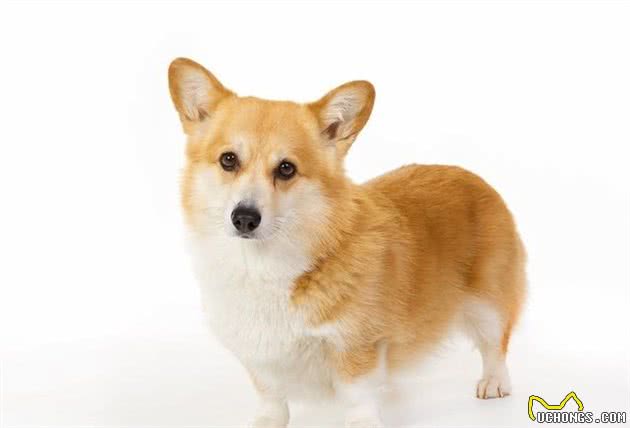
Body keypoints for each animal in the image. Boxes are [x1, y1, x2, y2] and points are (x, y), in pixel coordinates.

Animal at [168, 57, 526, 427]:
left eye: (286, 168)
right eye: (228, 160)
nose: (244, 218)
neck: (262, 266)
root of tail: (473, 176)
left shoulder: (357, 347)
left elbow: (358, 398)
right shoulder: (259, 357)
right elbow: (271, 398)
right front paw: (266, 422)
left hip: (487, 304)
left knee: (496, 344)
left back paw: (494, 382)